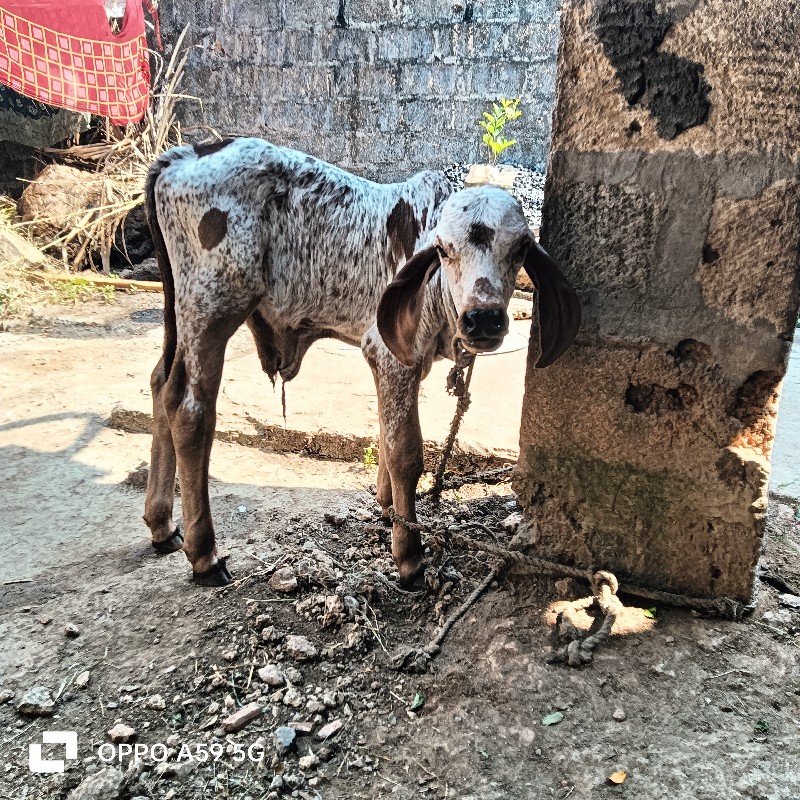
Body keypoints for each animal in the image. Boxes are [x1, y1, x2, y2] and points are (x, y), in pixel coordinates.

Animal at [144, 138, 580, 588]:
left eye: (521, 248)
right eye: (444, 249)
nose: (484, 319)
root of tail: (186, 154)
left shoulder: (405, 359)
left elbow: (386, 437)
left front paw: (389, 510)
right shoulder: (389, 357)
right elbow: (405, 452)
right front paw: (409, 555)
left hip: (180, 317)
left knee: (161, 384)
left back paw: (162, 525)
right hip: (210, 309)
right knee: (190, 411)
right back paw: (205, 554)